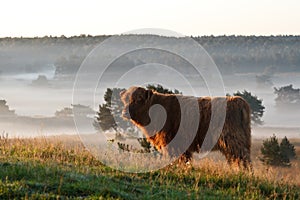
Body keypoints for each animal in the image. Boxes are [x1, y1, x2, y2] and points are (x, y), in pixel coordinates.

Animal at [120, 86, 252, 169]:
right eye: (125, 100)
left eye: (138, 99)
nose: (125, 112)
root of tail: (238, 100)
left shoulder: (173, 143)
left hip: (233, 140)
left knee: (243, 158)